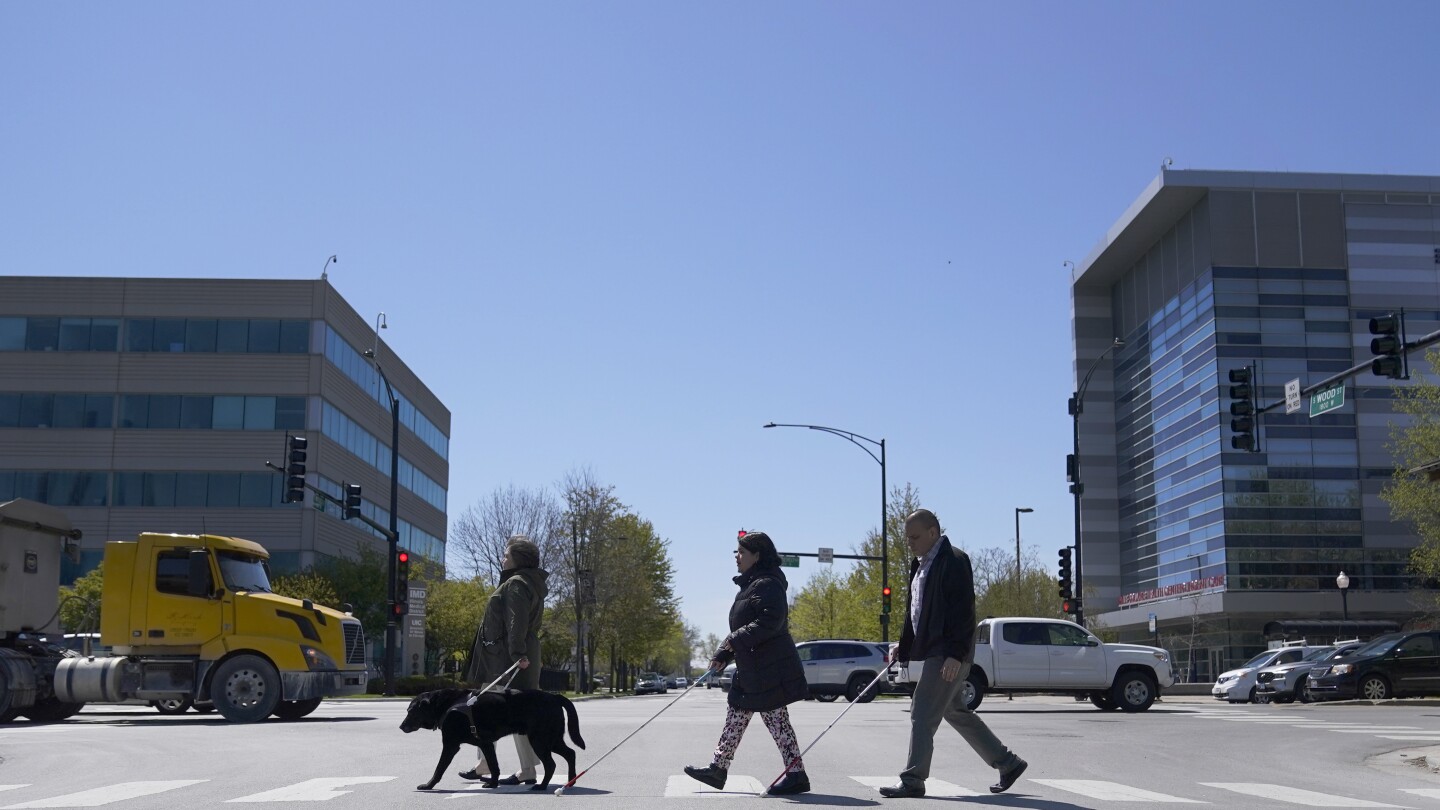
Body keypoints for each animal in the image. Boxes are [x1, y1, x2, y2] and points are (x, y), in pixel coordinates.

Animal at [400, 680, 584, 789]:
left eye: (411, 711)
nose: (401, 727)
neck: (446, 705)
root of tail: (555, 697)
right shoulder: (486, 744)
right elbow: (494, 765)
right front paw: (493, 783)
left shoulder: (450, 745)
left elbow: (439, 768)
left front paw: (428, 785)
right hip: (552, 740)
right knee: (571, 753)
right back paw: (571, 780)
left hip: (540, 740)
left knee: (551, 764)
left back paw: (542, 786)